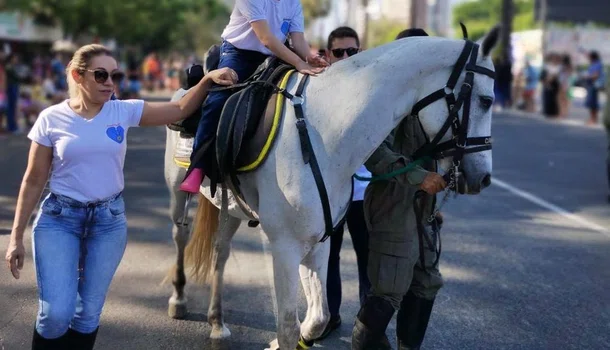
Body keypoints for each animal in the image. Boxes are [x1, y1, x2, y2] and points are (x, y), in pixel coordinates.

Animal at [163, 26, 498, 348]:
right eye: (486, 100)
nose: (483, 178)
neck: (323, 130)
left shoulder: (319, 239)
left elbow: (317, 319)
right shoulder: (285, 246)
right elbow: (288, 327)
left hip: (228, 207)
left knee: (220, 252)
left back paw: (217, 323)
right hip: (178, 192)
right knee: (180, 235)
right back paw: (179, 300)